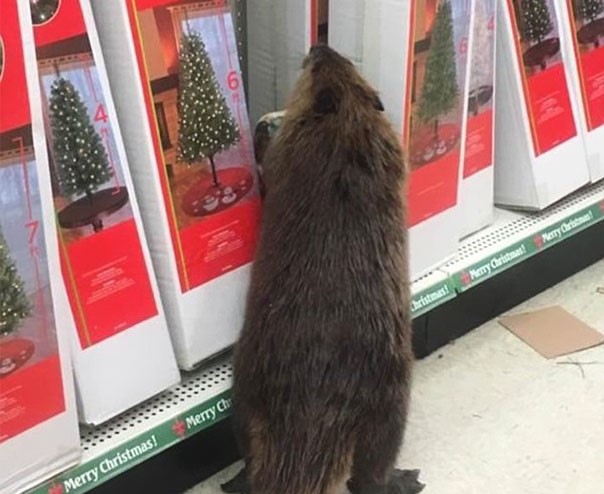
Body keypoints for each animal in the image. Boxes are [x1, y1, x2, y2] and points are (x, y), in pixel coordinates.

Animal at [219, 46, 422, 494]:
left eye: (317, 65)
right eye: (331, 60)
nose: (319, 48)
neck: (345, 125)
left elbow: (272, 166)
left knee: (369, 472)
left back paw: (405, 478)